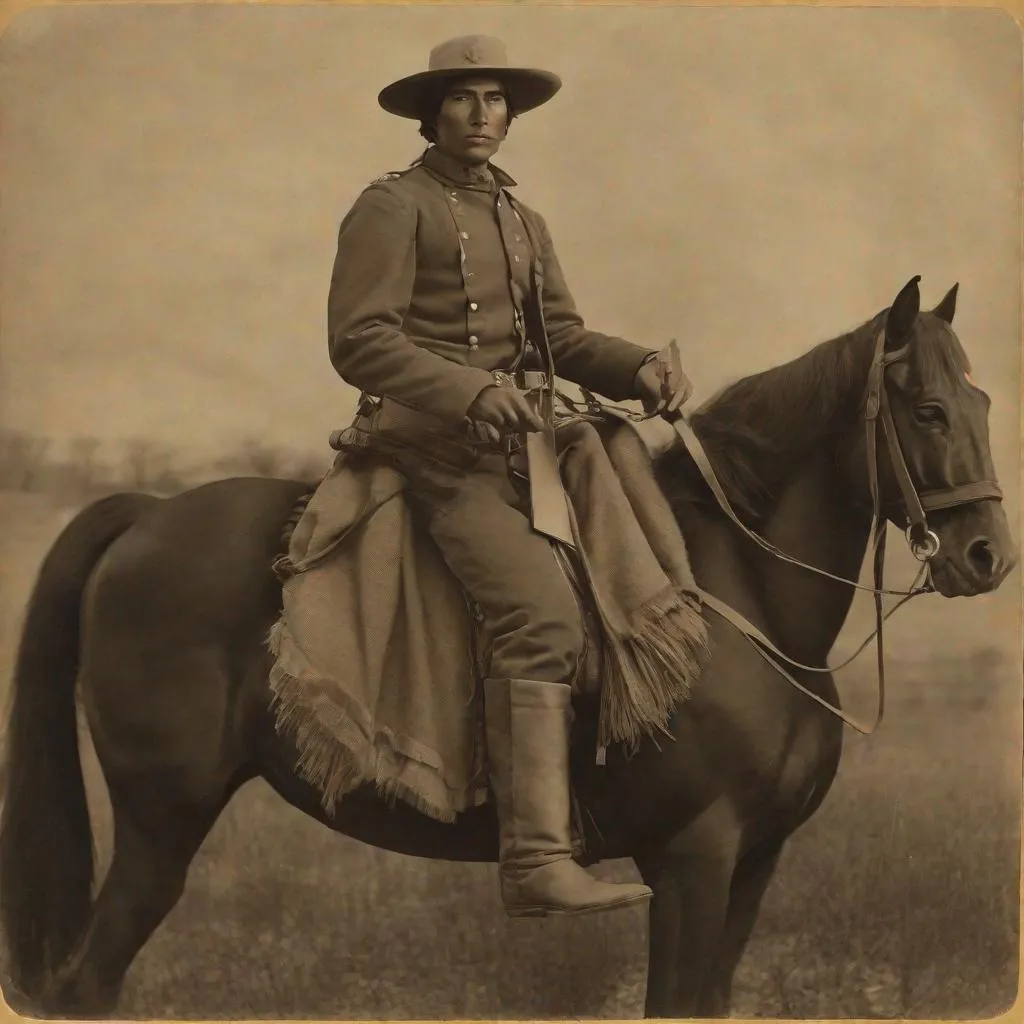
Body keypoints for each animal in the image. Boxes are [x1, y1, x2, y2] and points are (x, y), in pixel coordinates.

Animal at [0, 274, 1015, 1015]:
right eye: (926, 410)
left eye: (980, 401)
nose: (987, 555)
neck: (742, 595)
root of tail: (146, 514)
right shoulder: (693, 860)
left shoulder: (753, 865)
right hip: (160, 825)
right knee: (86, 985)